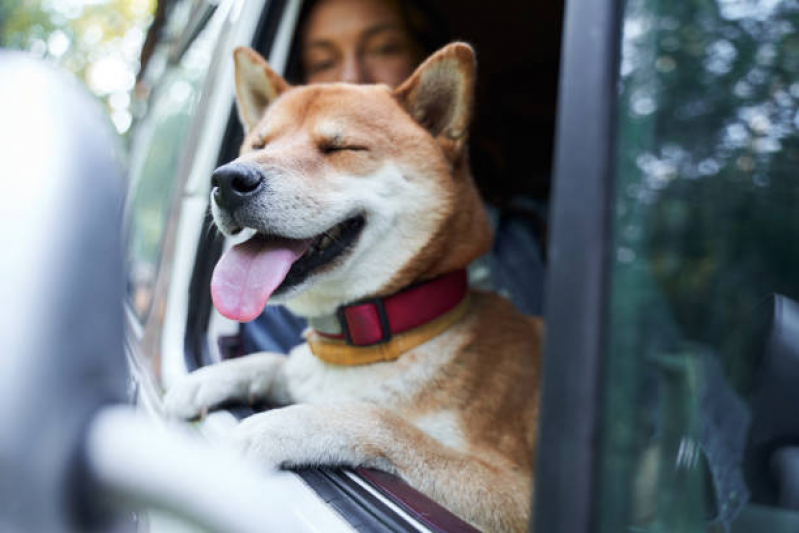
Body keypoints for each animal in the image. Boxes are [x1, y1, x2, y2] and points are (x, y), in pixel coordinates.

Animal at [166, 42, 548, 532]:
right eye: (259, 145)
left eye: (340, 147)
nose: (228, 180)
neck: (368, 342)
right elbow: (278, 361)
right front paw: (211, 378)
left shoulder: (514, 492)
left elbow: (381, 418)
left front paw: (278, 426)